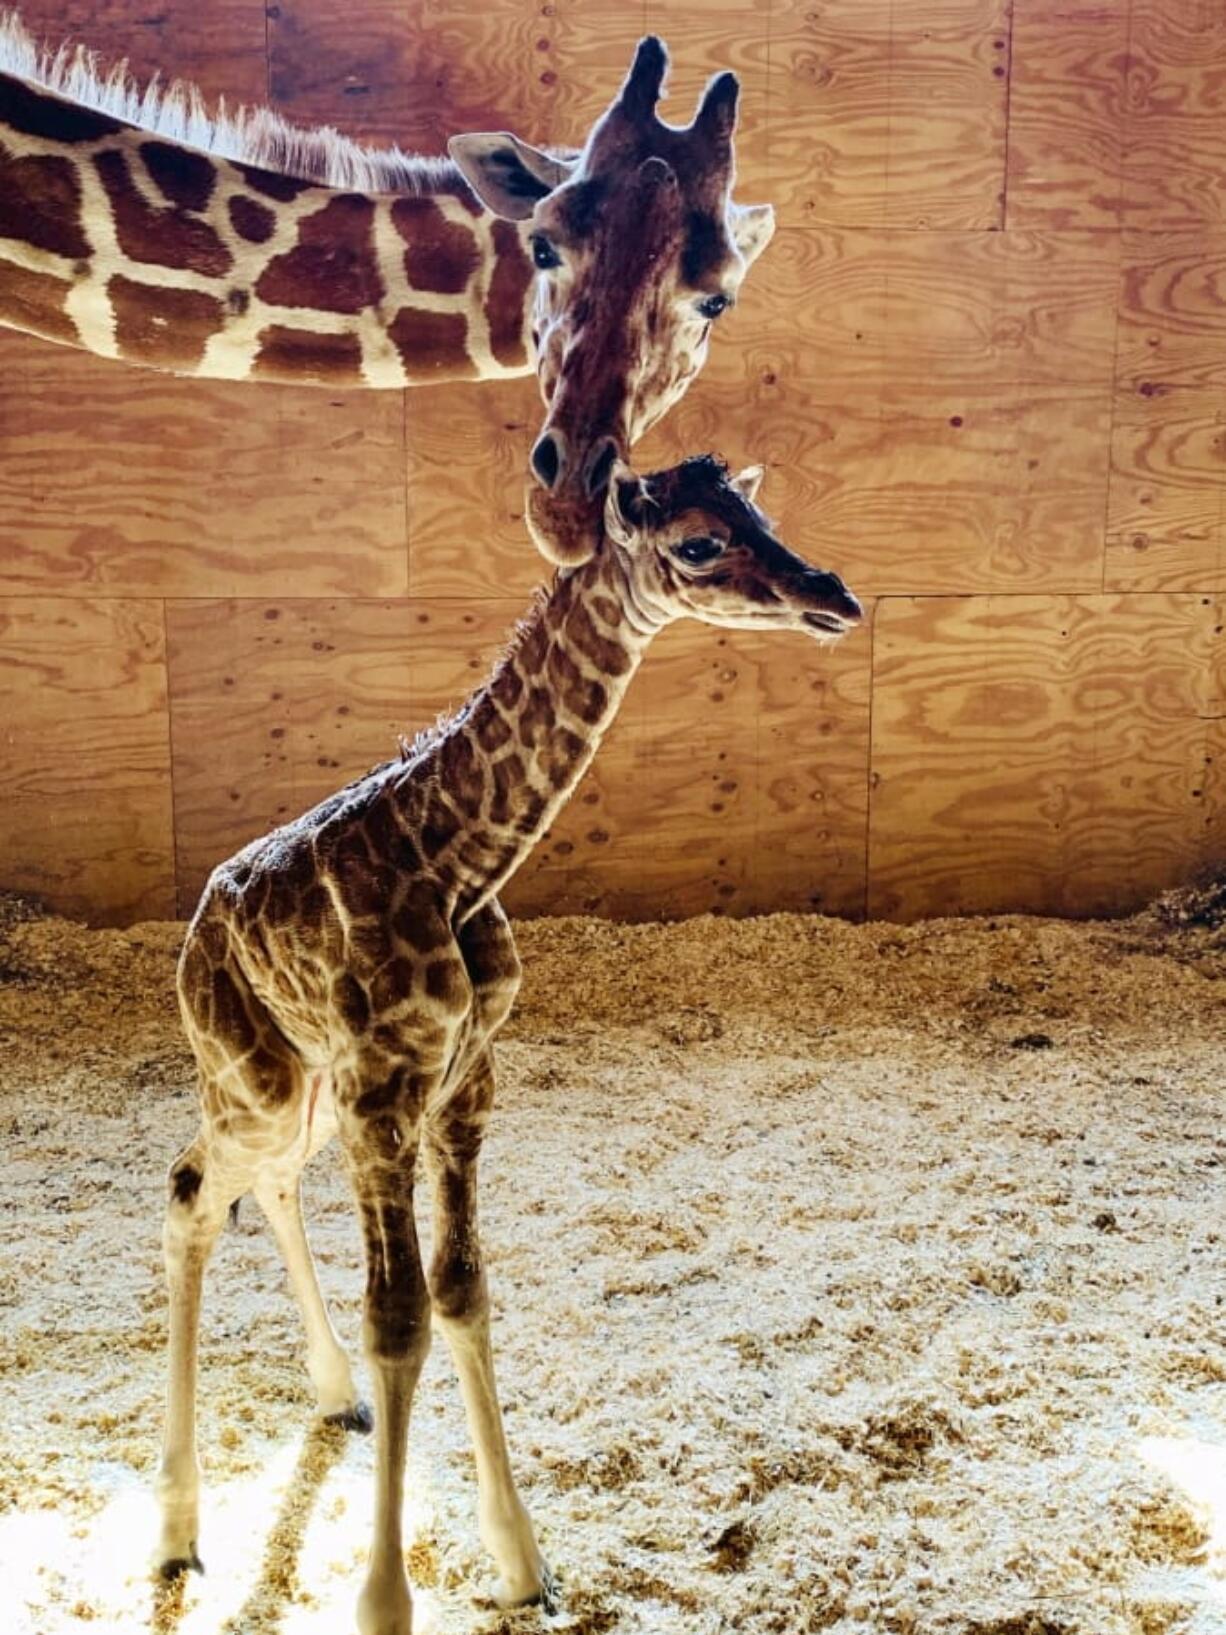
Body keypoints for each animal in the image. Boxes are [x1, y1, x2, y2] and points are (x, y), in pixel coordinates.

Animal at [156, 451, 863, 1635]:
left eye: (761, 511)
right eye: (699, 543)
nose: (836, 596)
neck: (454, 859)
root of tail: (196, 929)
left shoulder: (461, 1088)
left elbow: (461, 1291)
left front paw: (522, 1562)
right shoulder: (385, 1093)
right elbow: (400, 1315)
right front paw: (384, 1601)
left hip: (302, 1093)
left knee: (264, 1183)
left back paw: (331, 1396)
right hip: (257, 1077)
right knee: (189, 1190)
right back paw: (175, 1531)